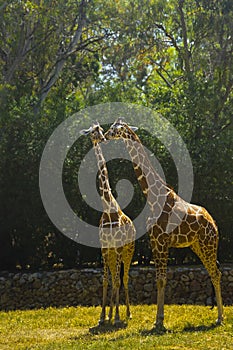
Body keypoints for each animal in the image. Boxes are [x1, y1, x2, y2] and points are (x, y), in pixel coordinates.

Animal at [79, 123, 135, 326]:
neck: (108, 206)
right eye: (93, 132)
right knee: (114, 277)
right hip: (112, 254)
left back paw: (126, 314)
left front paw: (117, 316)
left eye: (101, 131)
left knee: (124, 278)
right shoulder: (104, 248)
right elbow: (105, 280)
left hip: (128, 251)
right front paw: (103, 317)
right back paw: (111, 314)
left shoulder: (118, 247)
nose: (102, 139)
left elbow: (118, 280)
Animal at [104, 119, 223, 330]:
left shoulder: (161, 241)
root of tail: (214, 223)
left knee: (216, 273)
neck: (152, 196)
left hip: (209, 243)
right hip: (198, 246)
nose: (106, 135)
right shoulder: (155, 241)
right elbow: (159, 279)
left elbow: (162, 279)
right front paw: (158, 319)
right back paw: (218, 315)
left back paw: (220, 318)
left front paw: (159, 321)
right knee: (213, 272)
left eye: (114, 129)